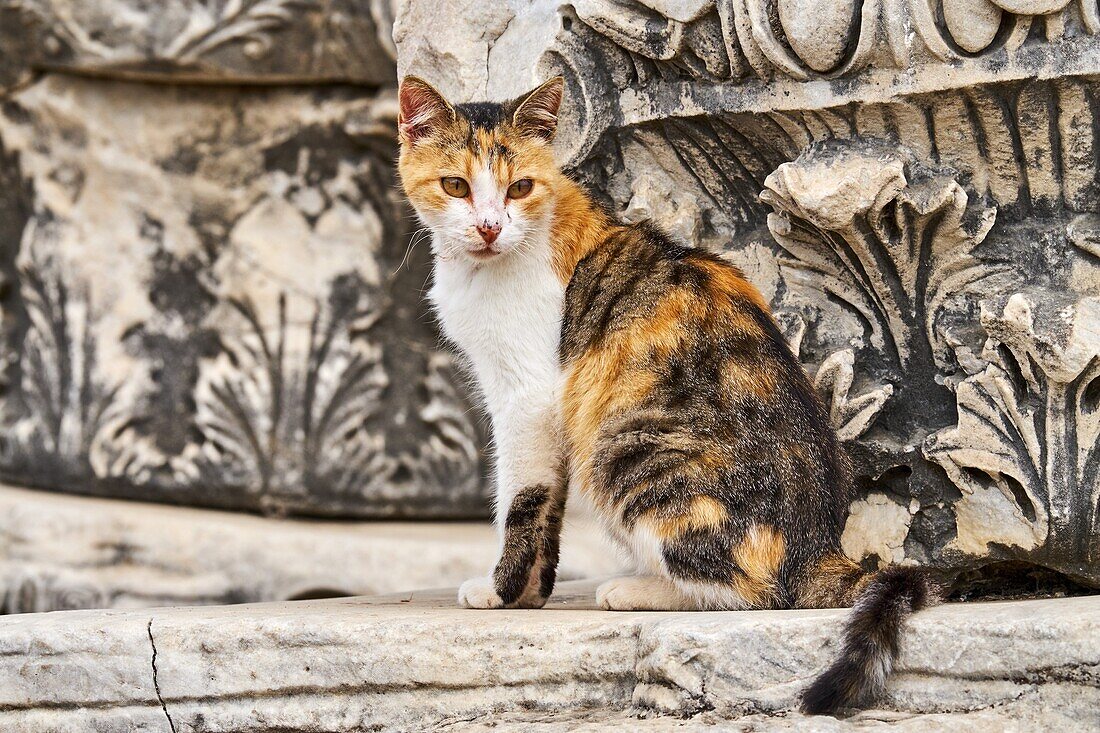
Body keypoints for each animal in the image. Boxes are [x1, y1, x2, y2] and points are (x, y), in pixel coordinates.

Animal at [396, 75, 937, 713]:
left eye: (519, 187)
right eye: (455, 185)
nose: (488, 226)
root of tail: (819, 551)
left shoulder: (528, 398)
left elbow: (521, 500)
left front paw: (500, 592)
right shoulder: (549, 414)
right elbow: (547, 504)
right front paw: (531, 595)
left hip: (626, 449)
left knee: (755, 593)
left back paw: (637, 589)